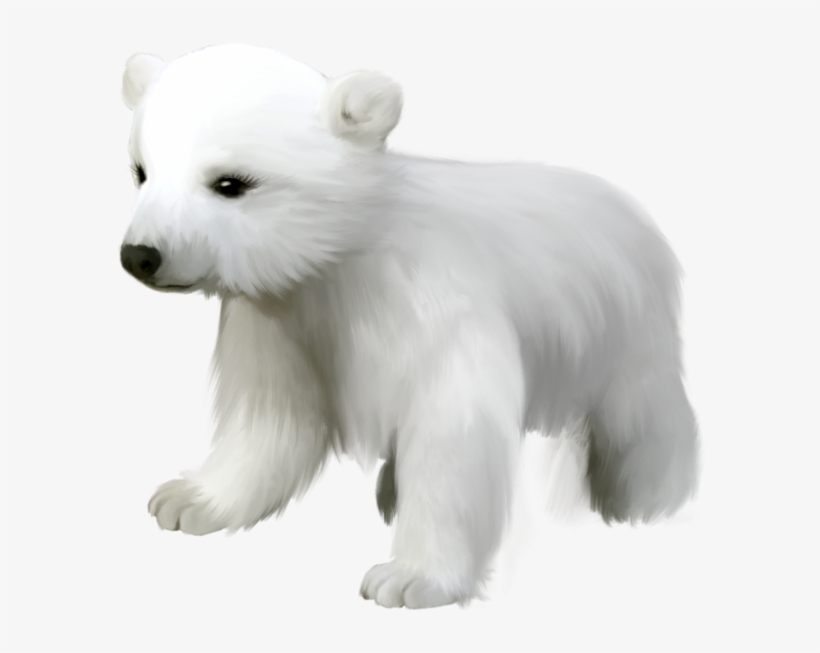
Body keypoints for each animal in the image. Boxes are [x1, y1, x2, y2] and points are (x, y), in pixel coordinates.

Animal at [120, 44, 698, 609]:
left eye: (231, 182)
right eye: (141, 171)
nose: (140, 255)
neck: (346, 258)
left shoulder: (434, 308)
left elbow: (452, 432)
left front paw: (408, 579)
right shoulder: (283, 318)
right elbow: (271, 418)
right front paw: (189, 499)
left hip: (624, 323)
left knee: (640, 417)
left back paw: (646, 498)